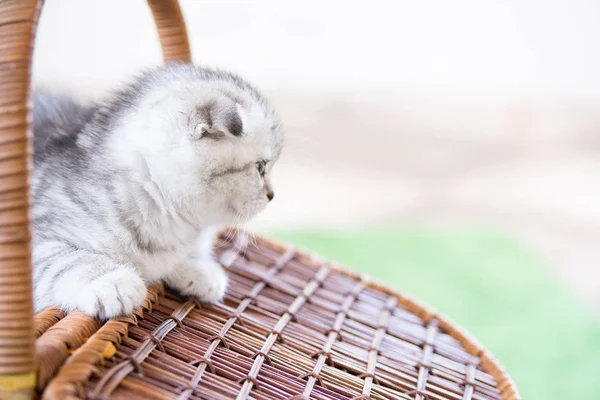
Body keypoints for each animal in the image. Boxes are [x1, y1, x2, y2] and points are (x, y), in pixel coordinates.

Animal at [29, 64, 278, 318]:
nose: (272, 195)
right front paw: (113, 283)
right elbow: (70, 261)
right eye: (260, 167)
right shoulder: (39, 237)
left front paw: (198, 268)